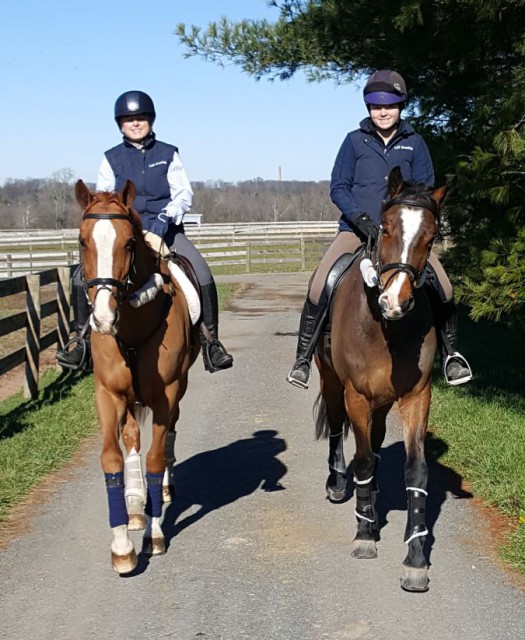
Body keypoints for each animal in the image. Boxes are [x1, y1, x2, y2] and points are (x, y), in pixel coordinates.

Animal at [75, 180, 201, 576]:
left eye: (129, 244)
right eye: (82, 241)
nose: (102, 317)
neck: (131, 329)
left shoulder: (166, 395)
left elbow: (157, 459)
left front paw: (154, 534)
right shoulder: (108, 395)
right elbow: (112, 460)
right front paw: (121, 546)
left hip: (178, 390)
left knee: (168, 434)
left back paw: (161, 492)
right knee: (131, 437)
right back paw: (133, 505)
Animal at [314, 168, 444, 592]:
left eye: (431, 237)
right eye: (384, 228)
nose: (395, 302)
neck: (385, 327)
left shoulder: (417, 396)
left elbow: (415, 468)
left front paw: (416, 558)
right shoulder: (355, 393)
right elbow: (363, 458)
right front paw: (364, 535)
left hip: (384, 401)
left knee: (376, 435)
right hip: (330, 382)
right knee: (339, 429)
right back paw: (340, 485)